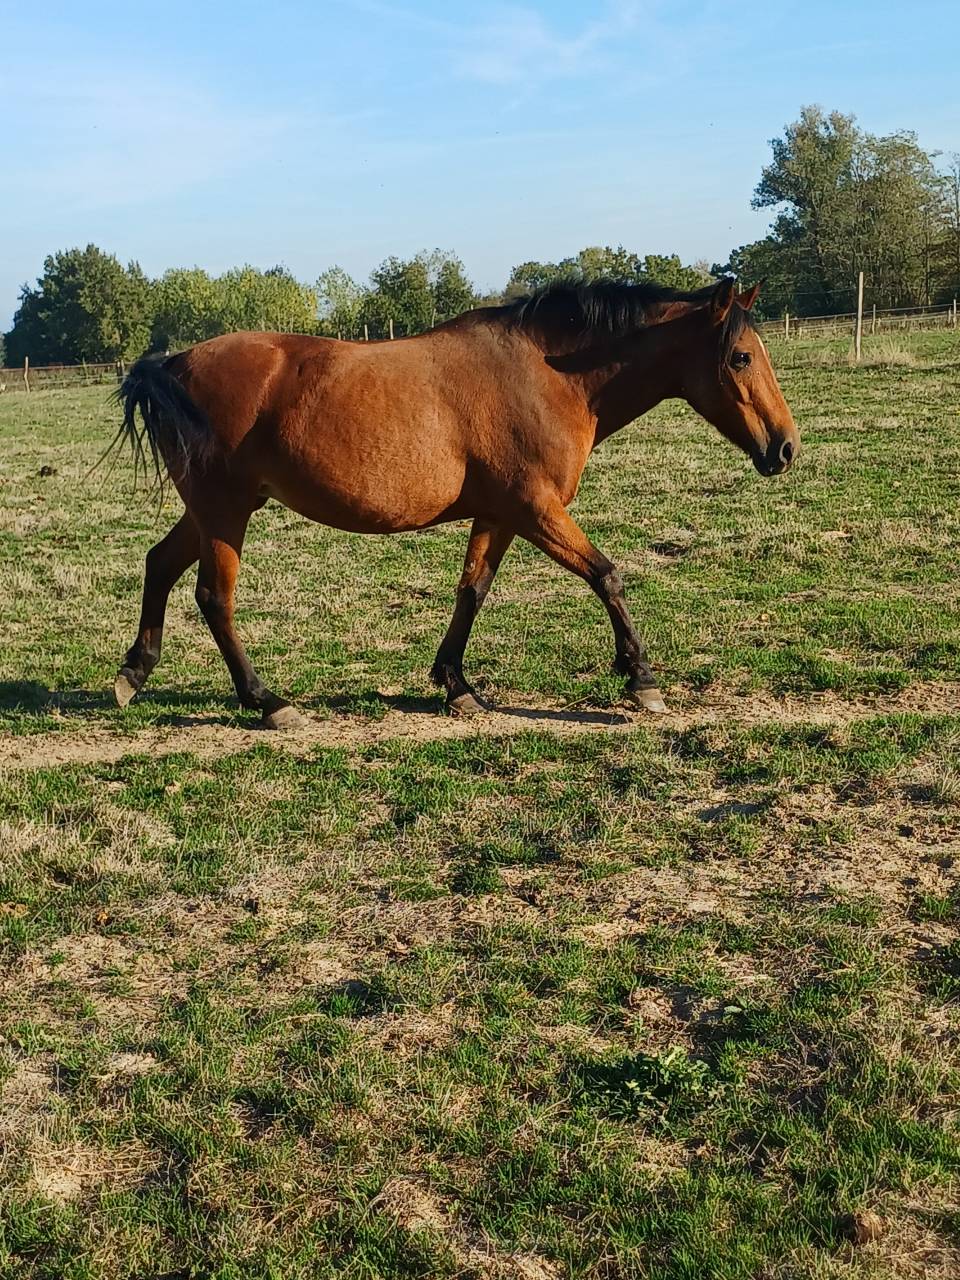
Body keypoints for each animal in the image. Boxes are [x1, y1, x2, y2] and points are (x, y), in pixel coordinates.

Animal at [113, 275, 798, 728]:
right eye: (741, 356)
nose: (785, 448)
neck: (547, 373)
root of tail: (174, 364)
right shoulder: (536, 510)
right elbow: (607, 576)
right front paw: (641, 679)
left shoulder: (499, 514)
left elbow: (472, 591)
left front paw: (456, 685)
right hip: (224, 513)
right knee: (213, 598)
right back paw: (267, 701)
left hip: (215, 510)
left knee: (159, 563)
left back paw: (134, 673)